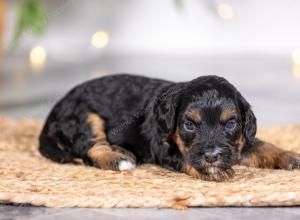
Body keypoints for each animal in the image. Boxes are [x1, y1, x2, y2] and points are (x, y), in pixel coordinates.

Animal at [39, 75, 300, 181]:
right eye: (189, 124)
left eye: (231, 123)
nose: (212, 156)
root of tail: (56, 108)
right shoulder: (162, 145)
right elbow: (184, 157)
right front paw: (212, 171)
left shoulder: (238, 143)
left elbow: (264, 146)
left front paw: (292, 156)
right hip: (84, 117)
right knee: (91, 148)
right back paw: (119, 159)